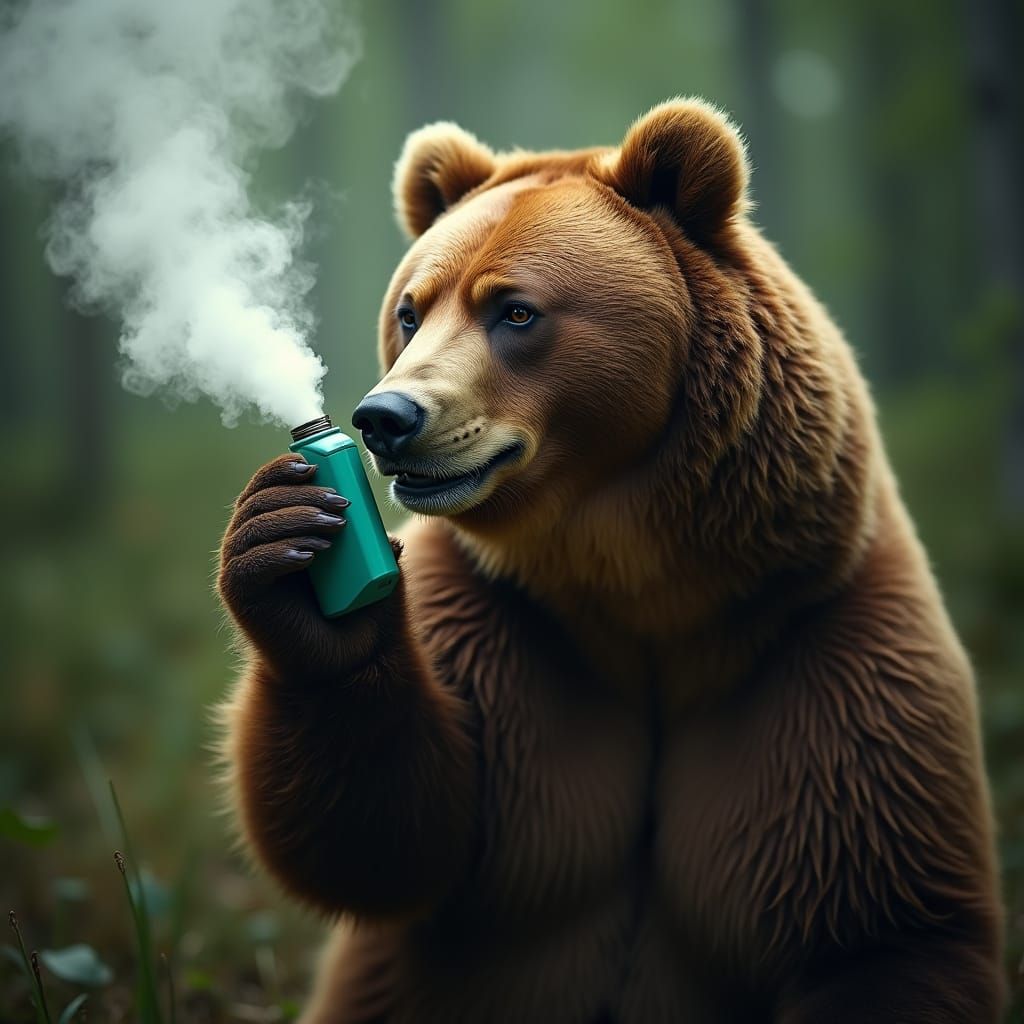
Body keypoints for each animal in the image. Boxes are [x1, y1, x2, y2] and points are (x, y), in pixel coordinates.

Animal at [217, 99, 1006, 1022]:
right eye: (411, 310)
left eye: (515, 311)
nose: (386, 418)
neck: (639, 581)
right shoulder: (500, 624)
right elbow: (394, 839)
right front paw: (292, 557)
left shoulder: (815, 634)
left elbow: (880, 917)